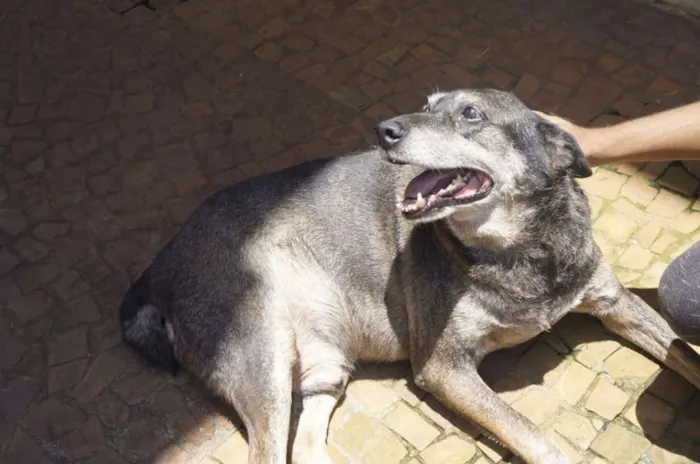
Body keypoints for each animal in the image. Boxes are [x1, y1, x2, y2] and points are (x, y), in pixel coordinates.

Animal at [120, 89, 700, 464]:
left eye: (470, 113)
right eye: (426, 104)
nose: (386, 130)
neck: (519, 251)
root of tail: (161, 261)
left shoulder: (612, 301)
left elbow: (683, 352)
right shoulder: (445, 368)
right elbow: (533, 437)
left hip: (326, 367)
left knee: (304, 448)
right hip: (262, 358)